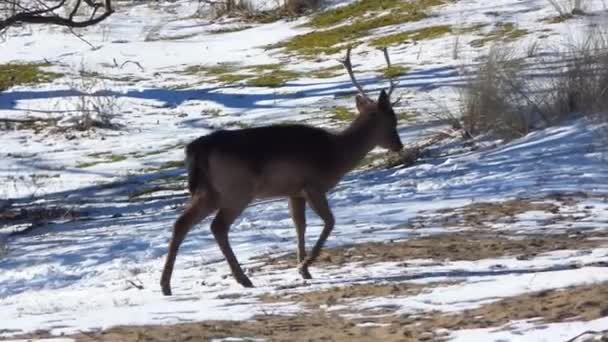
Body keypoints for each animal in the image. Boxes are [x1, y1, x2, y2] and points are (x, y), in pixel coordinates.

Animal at [162, 46, 404, 296]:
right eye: (392, 120)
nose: (399, 145)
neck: (337, 155)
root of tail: (196, 148)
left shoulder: (294, 192)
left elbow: (300, 225)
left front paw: (304, 270)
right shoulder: (313, 184)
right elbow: (329, 221)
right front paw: (305, 264)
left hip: (209, 191)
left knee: (181, 223)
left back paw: (166, 285)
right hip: (237, 189)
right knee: (217, 226)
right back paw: (243, 279)